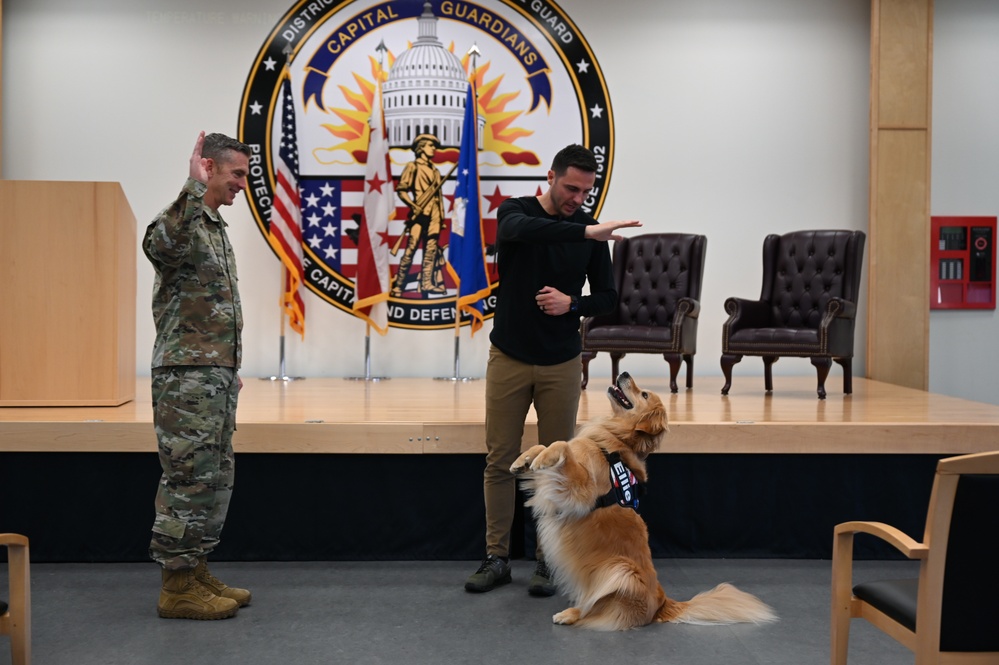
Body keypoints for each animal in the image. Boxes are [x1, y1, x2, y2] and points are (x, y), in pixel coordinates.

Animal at [512, 370, 776, 632]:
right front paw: (523, 460)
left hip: (621, 570)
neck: (615, 439)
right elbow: (543, 444)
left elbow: (562, 446)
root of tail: (662, 601)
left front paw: (544, 458)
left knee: (595, 607)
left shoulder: (581, 490)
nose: (624, 372)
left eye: (644, 394)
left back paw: (570, 615)